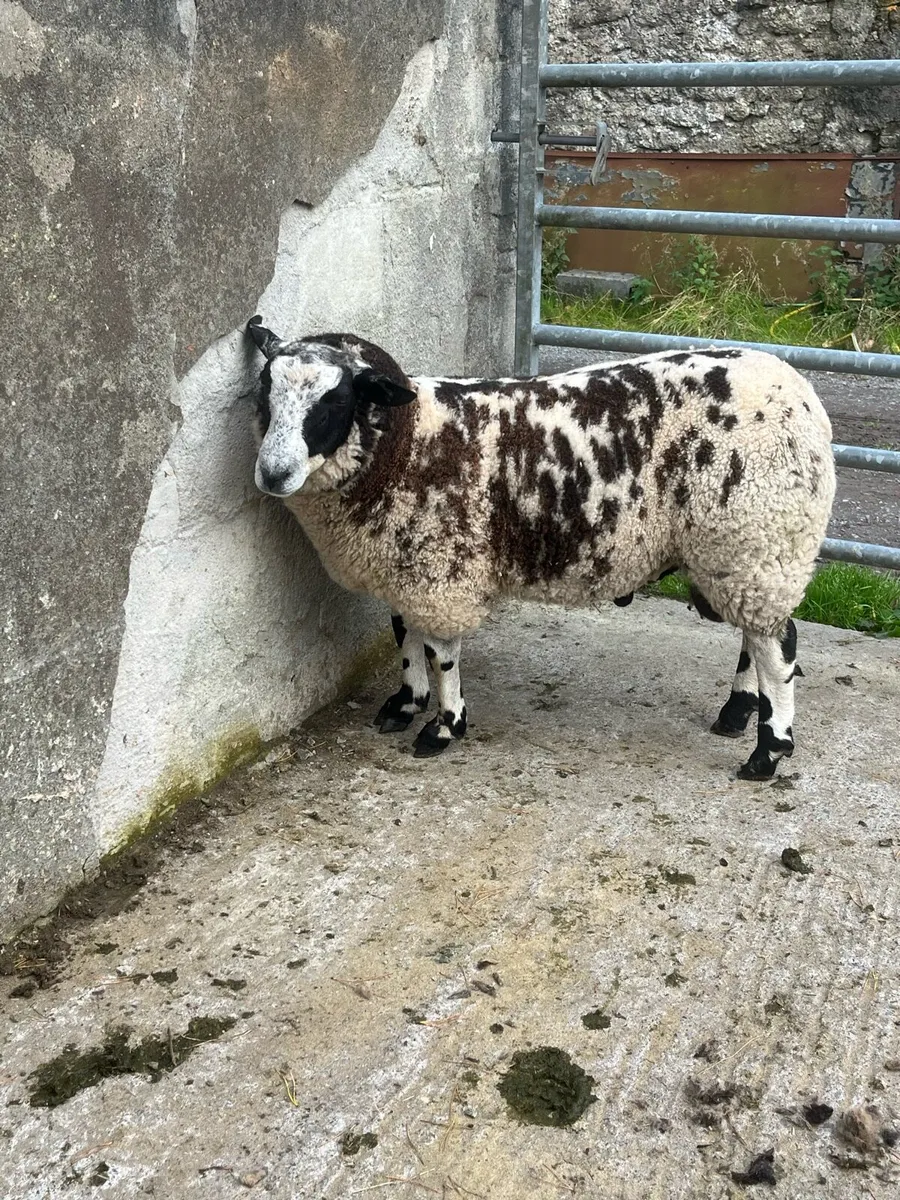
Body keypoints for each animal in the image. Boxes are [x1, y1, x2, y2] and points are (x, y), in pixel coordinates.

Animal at [245, 315, 835, 780]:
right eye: (263, 394)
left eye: (335, 402)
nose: (272, 475)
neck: (410, 440)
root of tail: (799, 392)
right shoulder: (406, 564)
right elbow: (404, 635)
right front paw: (405, 703)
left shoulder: (441, 568)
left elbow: (441, 653)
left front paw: (444, 727)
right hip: (740, 552)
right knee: (754, 636)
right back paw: (736, 712)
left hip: (756, 536)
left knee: (777, 647)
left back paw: (767, 751)